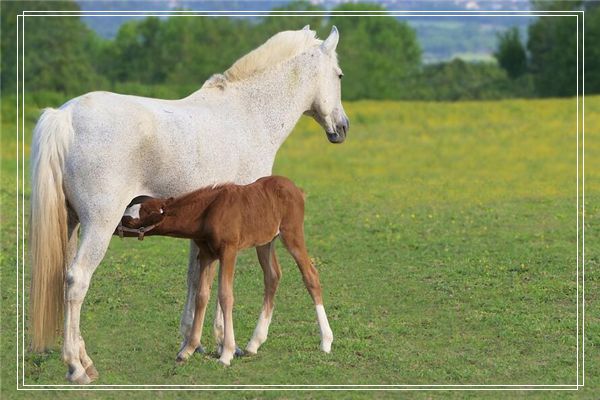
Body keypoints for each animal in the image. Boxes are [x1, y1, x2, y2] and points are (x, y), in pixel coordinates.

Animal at [116, 175, 332, 366]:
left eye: (130, 220)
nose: (115, 227)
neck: (208, 212)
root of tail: (296, 189)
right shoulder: (207, 255)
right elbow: (202, 295)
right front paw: (188, 350)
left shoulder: (229, 251)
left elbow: (225, 295)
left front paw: (226, 353)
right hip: (265, 241)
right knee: (272, 276)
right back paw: (254, 343)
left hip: (292, 233)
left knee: (310, 275)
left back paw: (326, 342)